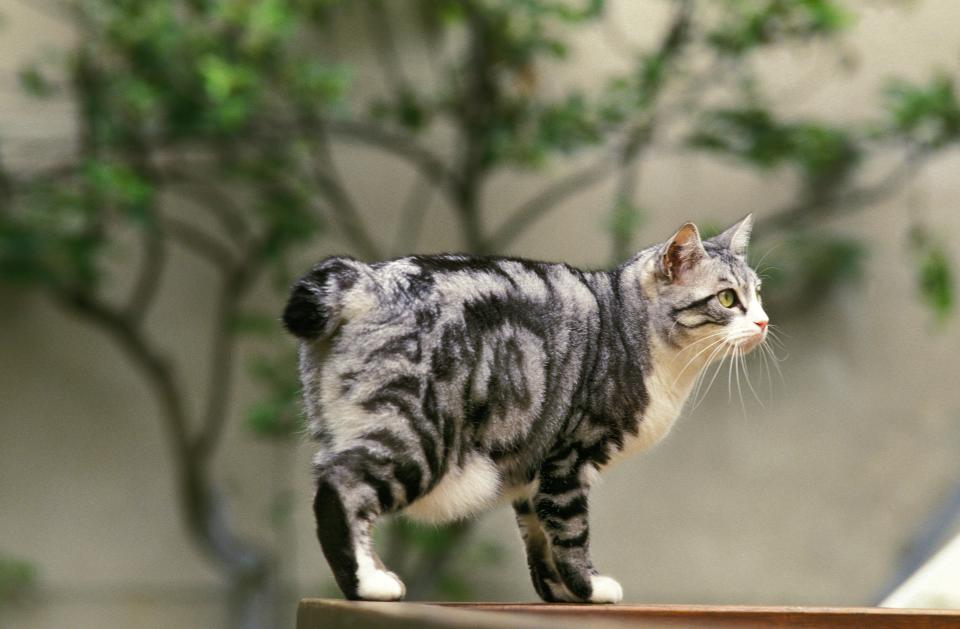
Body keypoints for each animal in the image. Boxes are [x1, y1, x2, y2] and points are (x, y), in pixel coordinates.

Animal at [284, 215, 772, 604]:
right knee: (341, 487)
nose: (764, 321)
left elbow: (540, 536)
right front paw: (589, 588)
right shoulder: (569, 456)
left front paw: (559, 593)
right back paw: (368, 584)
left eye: (758, 294)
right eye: (728, 299)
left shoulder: (533, 467)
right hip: (418, 433)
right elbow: (570, 530)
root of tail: (367, 278)